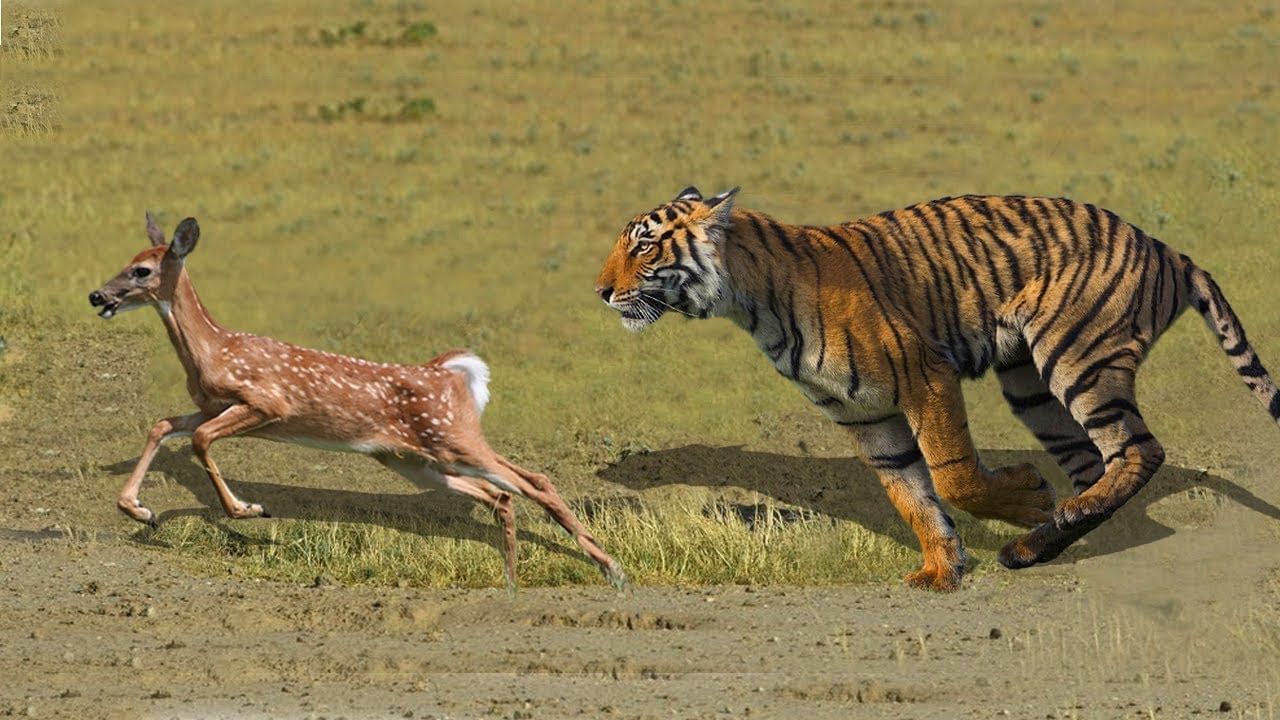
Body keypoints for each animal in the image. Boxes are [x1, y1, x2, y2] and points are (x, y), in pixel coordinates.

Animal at [87, 208, 627, 589]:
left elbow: (200, 440)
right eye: (126, 262)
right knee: (502, 494)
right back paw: (514, 577)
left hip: (453, 437)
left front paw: (248, 510)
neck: (213, 351)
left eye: (141, 270)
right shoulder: (212, 405)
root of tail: (451, 373)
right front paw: (139, 510)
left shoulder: (267, 404)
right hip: (415, 461)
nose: (97, 296)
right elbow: (163, 424)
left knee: (533, 481)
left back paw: (610, 569)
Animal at [593, 185, 1274, 589]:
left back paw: (1051, 520)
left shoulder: (926, 376)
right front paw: (943, 569)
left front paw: (1026, 495)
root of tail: (1164, 246)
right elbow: (912, 496)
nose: (599, 290)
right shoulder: (865, 416)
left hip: (1074, 358)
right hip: (1030, 385)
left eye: (645, 246)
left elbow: (951, 475)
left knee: (1138, 451)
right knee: (1097, 463)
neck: (751, 304)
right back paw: (1040, 544)